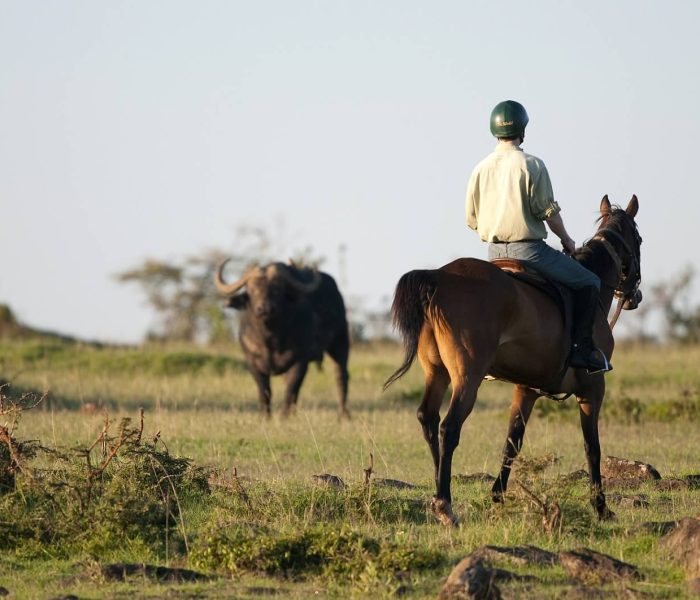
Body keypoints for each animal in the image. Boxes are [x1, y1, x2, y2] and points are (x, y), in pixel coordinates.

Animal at [384, 195, 642, 526]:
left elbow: (512, 443)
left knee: (427, 419)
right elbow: (592, 447)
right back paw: (445, 504)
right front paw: (600, 507)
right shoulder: (593, 389)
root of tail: (439, 277)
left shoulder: (526, 389)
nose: (634, 296)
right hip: (467, 377)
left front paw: (498, 496)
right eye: (639, 240)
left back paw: (438, 491)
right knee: (448, 427)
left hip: (436, 372)